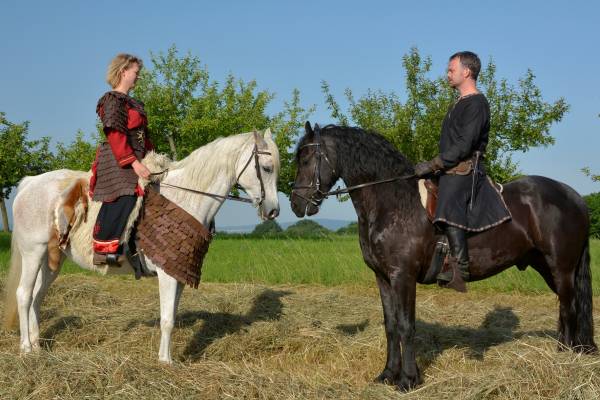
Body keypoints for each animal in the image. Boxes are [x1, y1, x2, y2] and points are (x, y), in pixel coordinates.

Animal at [2, 130, 280, 364]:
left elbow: (172, 315)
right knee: (24, 295)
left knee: (37, 296)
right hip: (33, 252)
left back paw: (38, 346)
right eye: (266, 168)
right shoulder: (167, 275)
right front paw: (165, 362)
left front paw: (167, 358)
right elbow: (167, 320)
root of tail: (29, 183)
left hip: (52, 259)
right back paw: (26, 348)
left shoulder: (178, 272)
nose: (273, 211)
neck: (186, 197)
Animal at [290, 122, 596, 390]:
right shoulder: (383, 278)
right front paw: (387, 374)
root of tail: (575, 197)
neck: (393, 202)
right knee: (565, 307)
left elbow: (406, 326)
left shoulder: (403, 277)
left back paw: (563, 358)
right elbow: (391, 326)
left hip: (561, 268)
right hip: (547, 267)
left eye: (305, 159)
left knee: (569, 309)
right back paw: (564, 353)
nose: (296, 204)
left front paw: (408, 380)